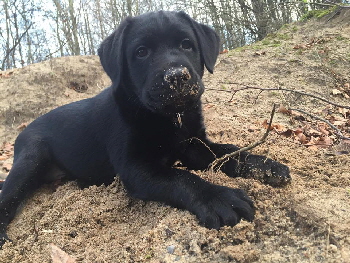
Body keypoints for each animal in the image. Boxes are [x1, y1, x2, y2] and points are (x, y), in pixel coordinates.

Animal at [0, 10, 290, 249]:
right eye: (141, 52)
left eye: (187, 44)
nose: (176, 77)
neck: (169, 118)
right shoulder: (137, 168)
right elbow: (182, 178)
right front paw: (219, 198)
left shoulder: (194, 145)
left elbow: (230, 151)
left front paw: (264, 165)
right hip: (31, 159)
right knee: (7, 198)